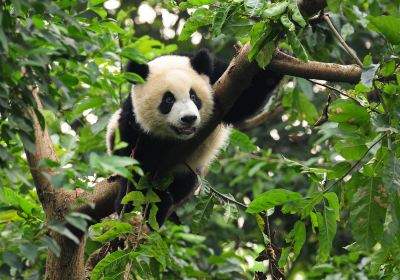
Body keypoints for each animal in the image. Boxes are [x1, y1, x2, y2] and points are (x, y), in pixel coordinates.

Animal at [106, 49, 282, 225]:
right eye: (168, 99)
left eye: (193, 96)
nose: (188, 118)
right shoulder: (133, 119)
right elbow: (135, 160)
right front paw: (141, 203)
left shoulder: (220, 78)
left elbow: (243, 102)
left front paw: (273, 64)